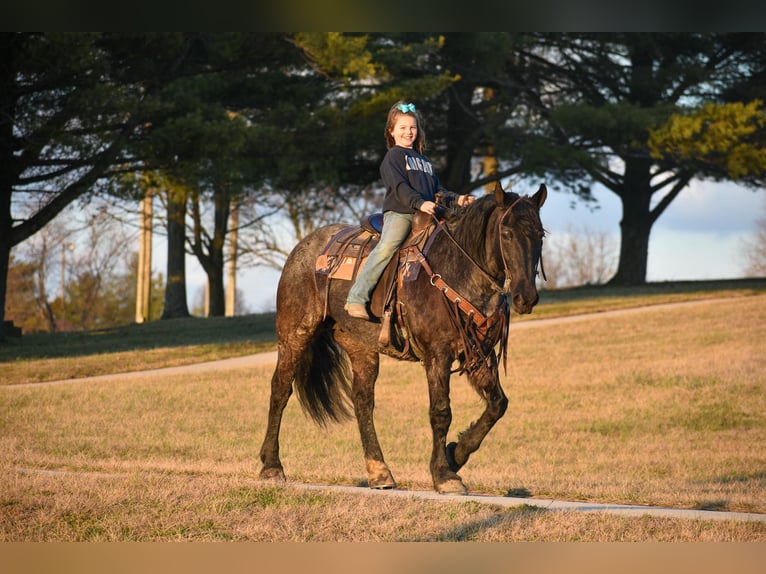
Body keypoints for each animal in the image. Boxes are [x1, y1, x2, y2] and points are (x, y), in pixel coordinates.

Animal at [260, 181, 548, 496]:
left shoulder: (478, 353)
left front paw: (455, 455)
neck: (456, 268)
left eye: (540, 234)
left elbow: (497, 404)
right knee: (280, 389)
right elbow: (441, 412)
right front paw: (444, 475)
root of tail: (302, 249)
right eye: (506, 233)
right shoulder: (437, 355)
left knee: (363, 402)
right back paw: (271, 466)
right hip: (294, 334)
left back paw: (379, 472)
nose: (526, 297)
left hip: (361, 348)